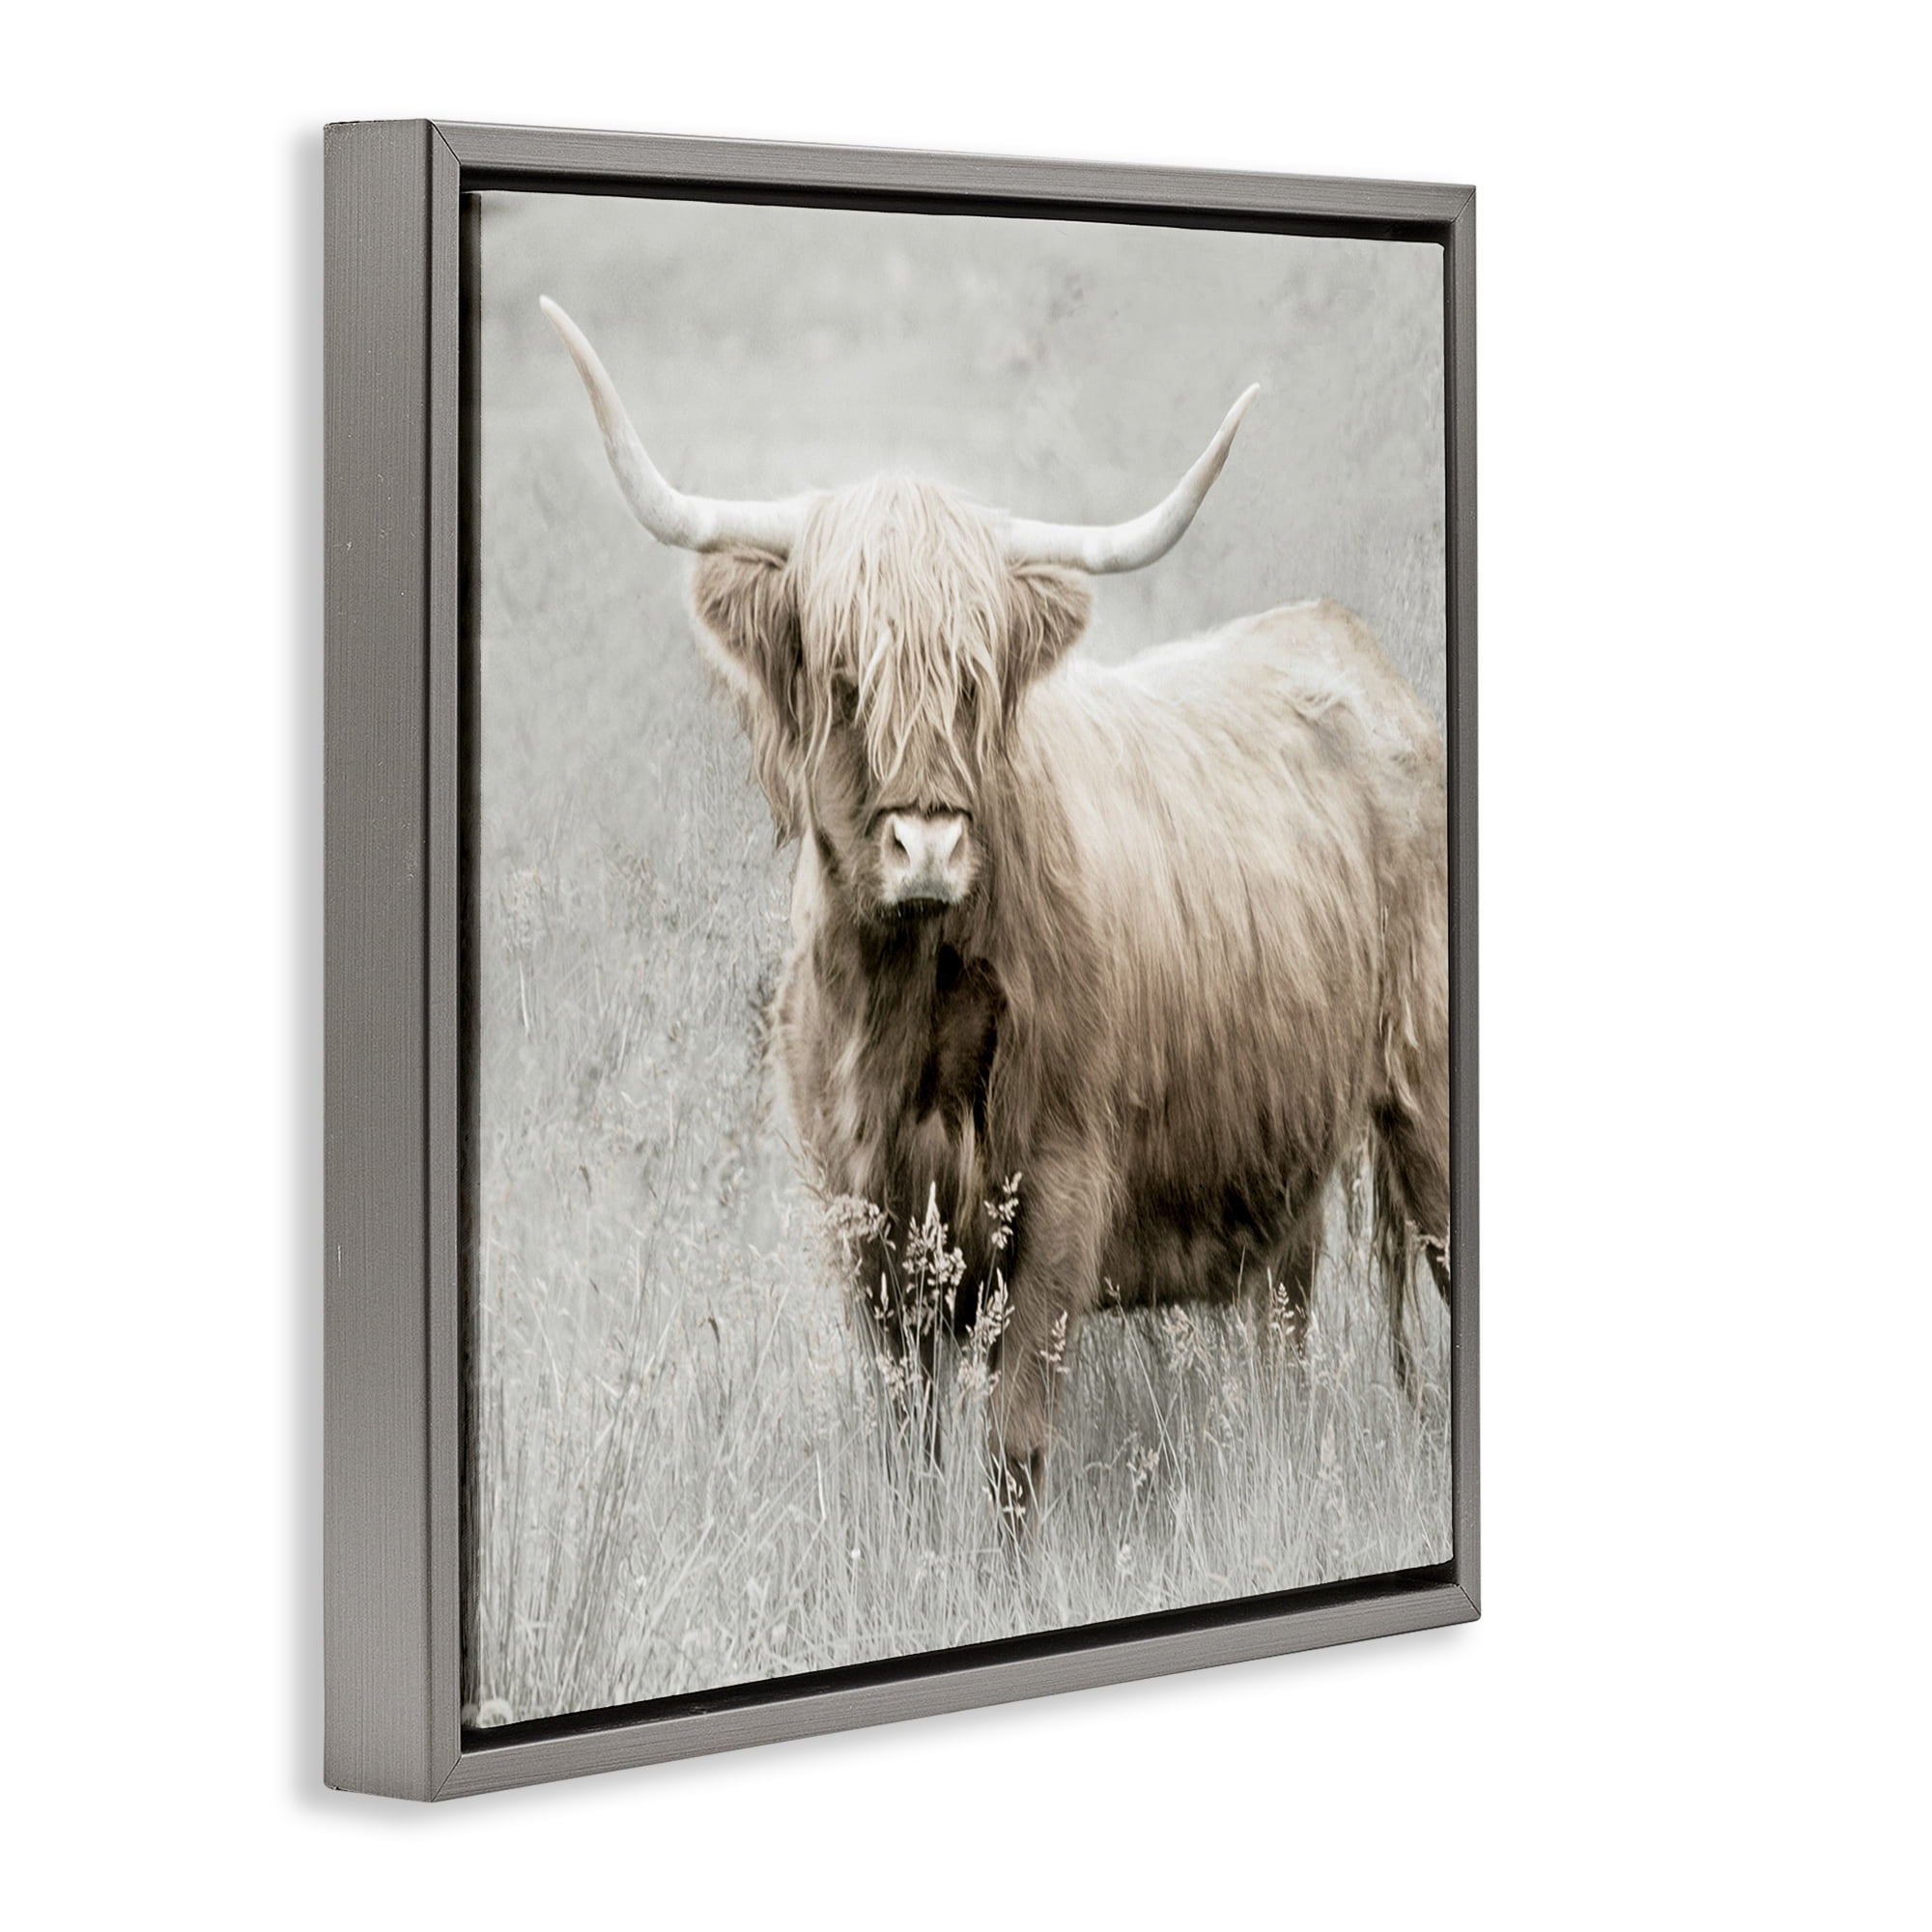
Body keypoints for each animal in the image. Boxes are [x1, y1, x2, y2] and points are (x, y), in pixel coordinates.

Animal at [542, 296, 1450, 1528]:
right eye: (844, 673)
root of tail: (1344, 642)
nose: (926, 842)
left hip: (1429, 1098)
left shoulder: (1061, 1198)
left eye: (974, 677)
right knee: (1287, 1322)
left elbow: (1014, 1451)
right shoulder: (867, 1227)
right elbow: (910, 1449)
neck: (906, 1014)